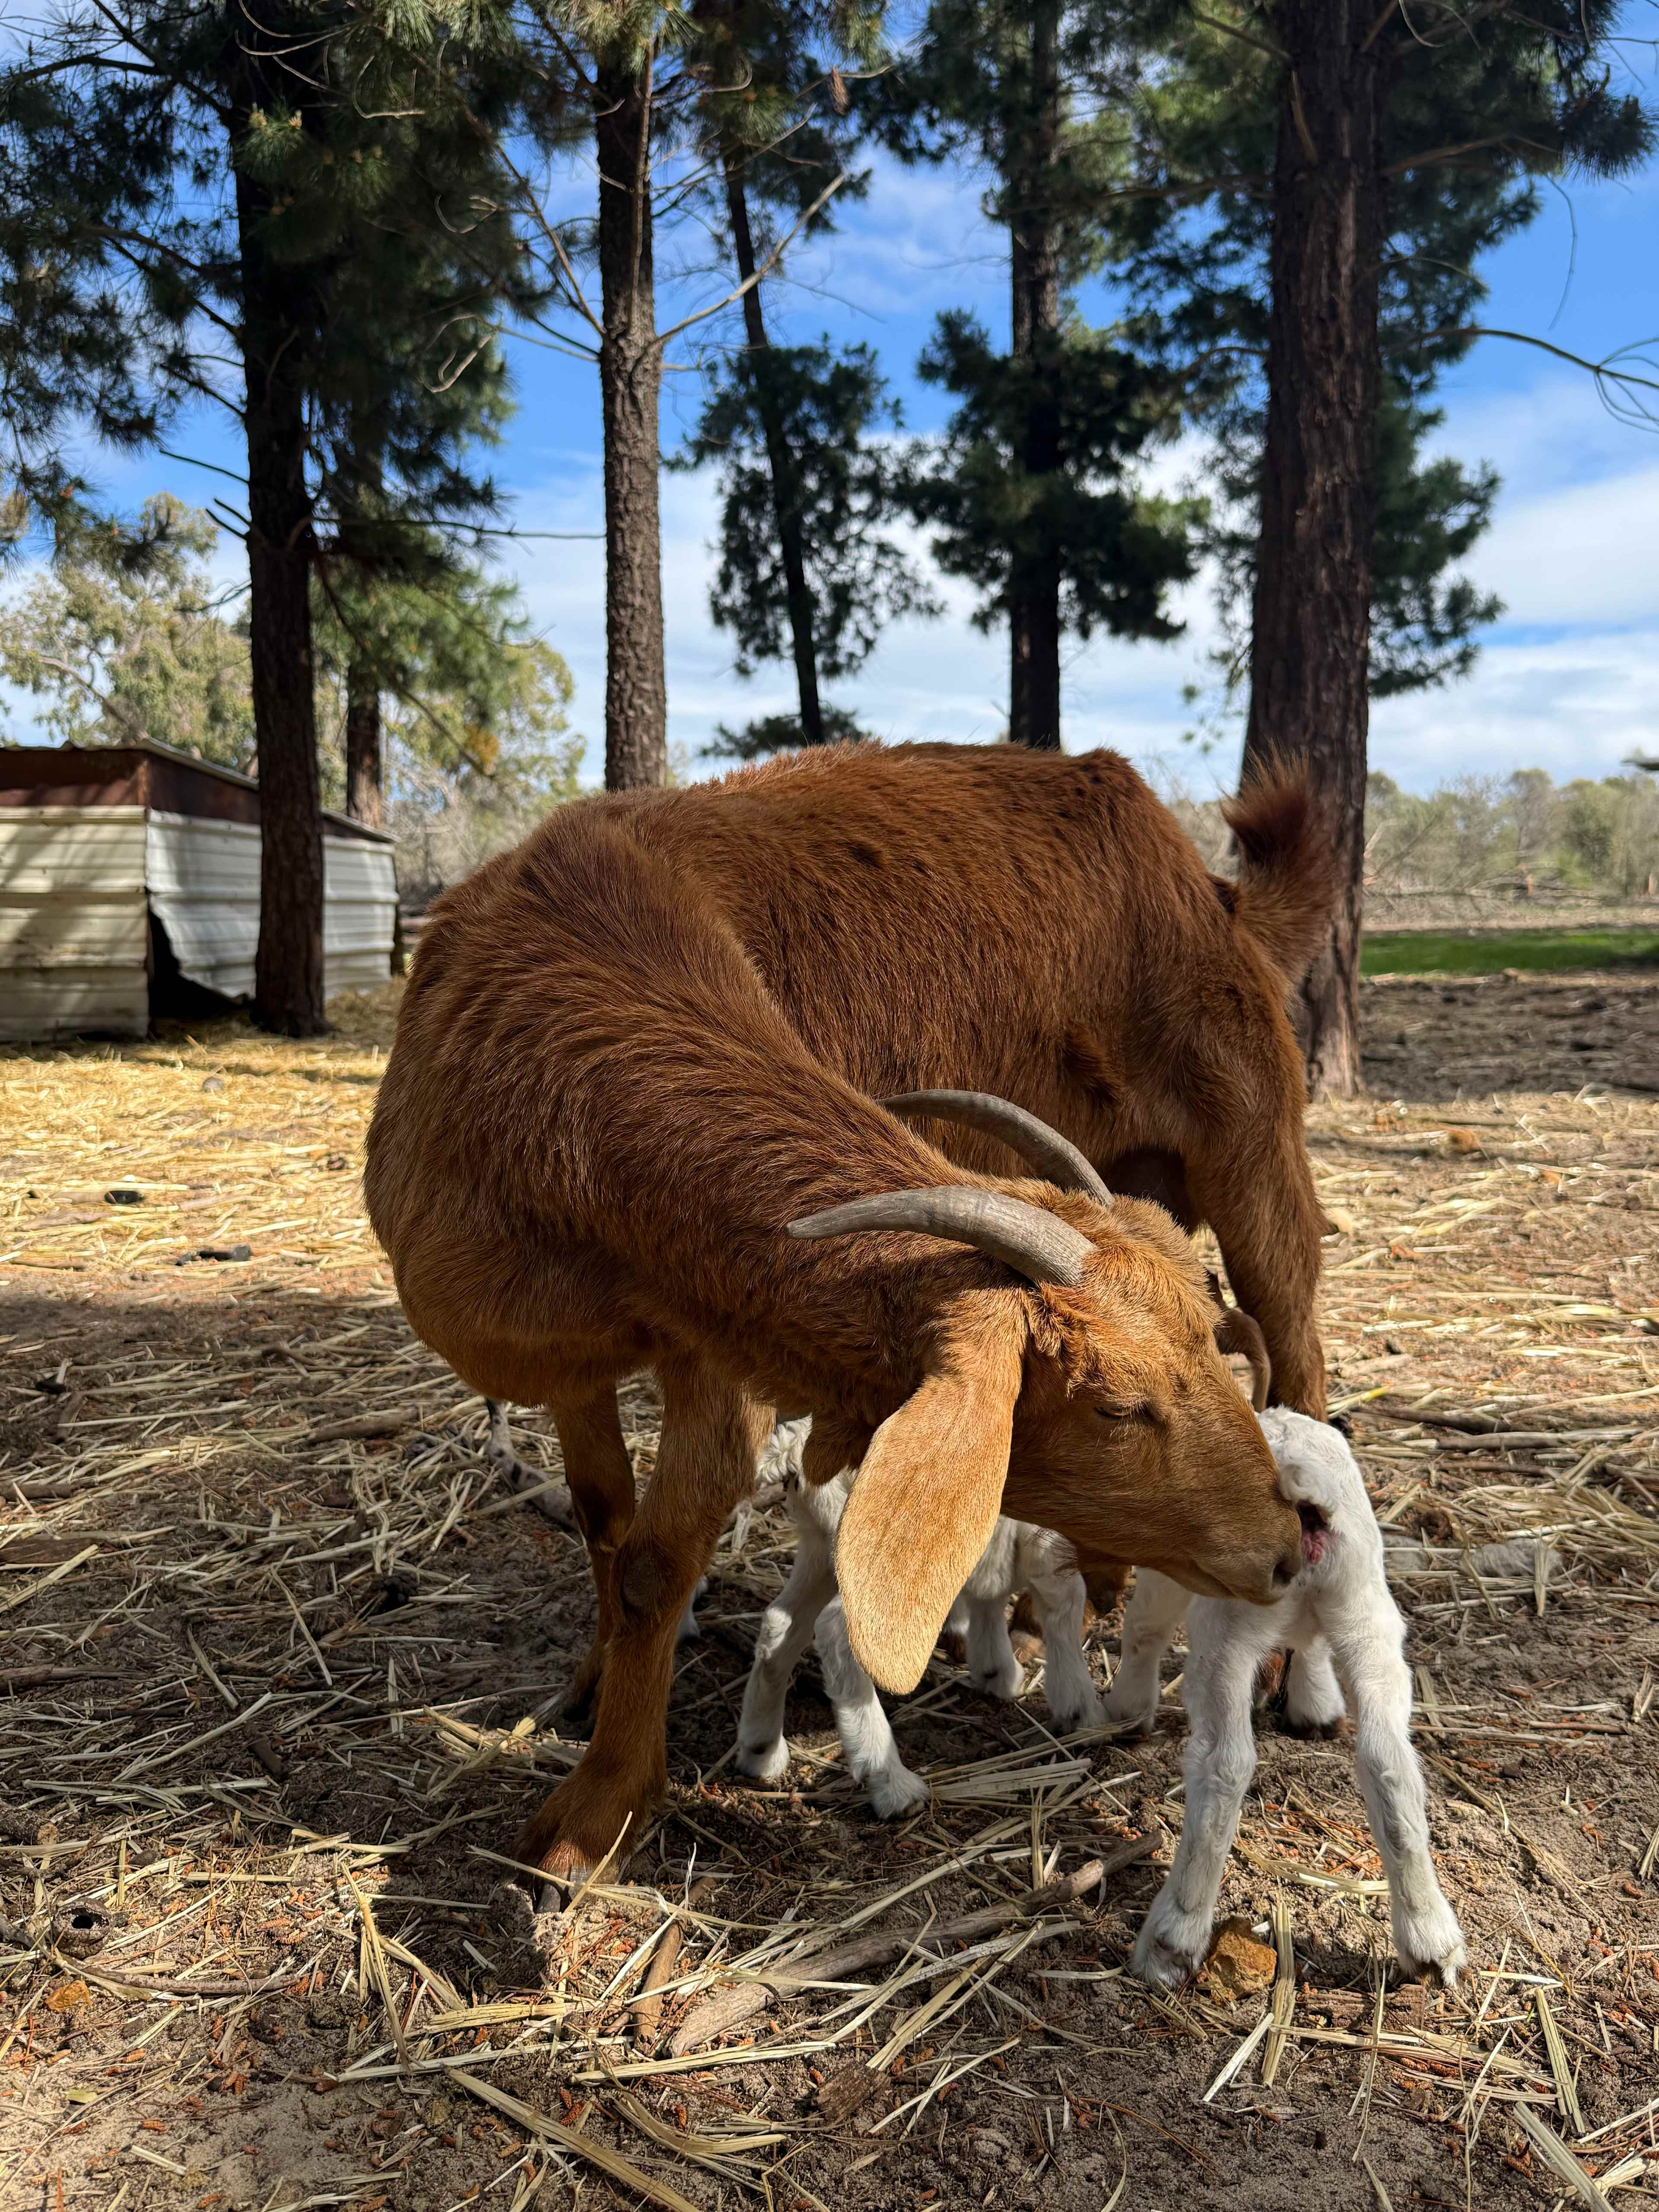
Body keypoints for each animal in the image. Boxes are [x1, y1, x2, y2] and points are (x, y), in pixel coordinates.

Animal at [737, 1420, 1102, 1817]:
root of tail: (797, 1444)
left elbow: (991, 1588)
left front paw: (996, 1670)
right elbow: (1063, 1598)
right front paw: (1080, 1709)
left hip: (824, 1544)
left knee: (781, 1625)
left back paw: (761, 1750)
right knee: (838, 1631)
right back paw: (891, 1783)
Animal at [1103, 1409, 1467, 1990]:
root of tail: (1308, 1495)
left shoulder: (1168, 1559)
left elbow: (1145, 1626)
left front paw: (1127, 1710)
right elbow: (1310, 1646)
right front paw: (1316, 1705)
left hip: (1229, 1624)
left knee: (1224, 1763)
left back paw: (1173, 1935)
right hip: (1368, 1611)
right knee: (1389, 1761)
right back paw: (1431, 1939)